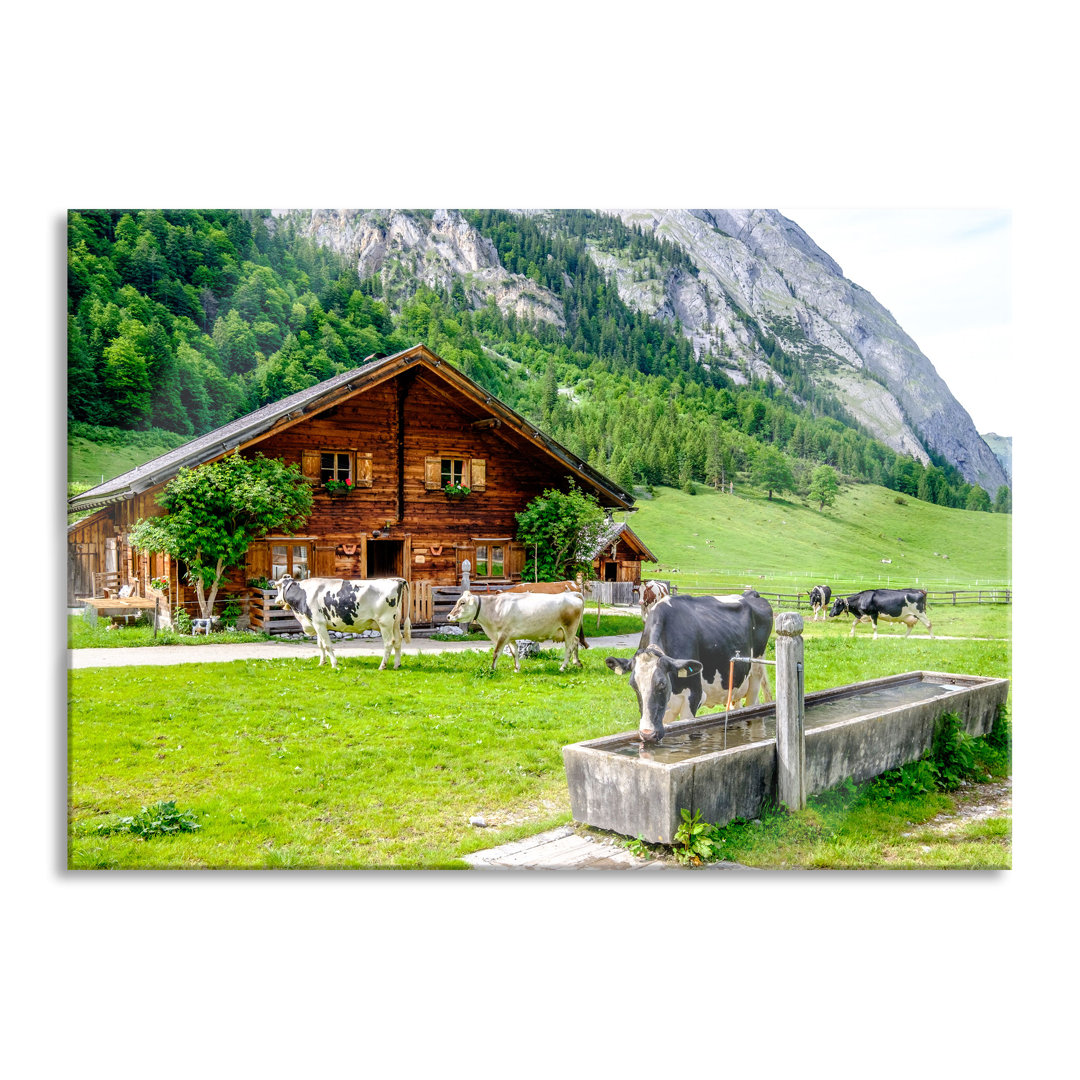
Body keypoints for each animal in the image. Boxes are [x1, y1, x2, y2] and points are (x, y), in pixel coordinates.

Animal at [276, 574, 410, 665]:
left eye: (278, 588)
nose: (276, 600)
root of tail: (395, 580)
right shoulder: (317, 623)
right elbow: (320, 645)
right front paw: (322, 663)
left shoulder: (319, 623)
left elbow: (327, 645)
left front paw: (334, 664)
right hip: (395, 622)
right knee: (398, 640)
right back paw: (397, 664)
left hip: (385, 622)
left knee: (389, 643)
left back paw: (382, 666)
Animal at [444, 587, 587, 669]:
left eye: (462, 603)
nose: (448, 616)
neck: (494, 608)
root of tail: (572, 594)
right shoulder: (510, 637)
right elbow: (514, 652)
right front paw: (517, 668)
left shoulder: (503, 634)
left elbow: (496, 652)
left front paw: (492, 669)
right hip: (565, 632)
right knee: (575, 642)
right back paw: (577, 663)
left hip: (569, 629)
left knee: (568, 648)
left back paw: (563, 667)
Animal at [604, 591, 773, 743]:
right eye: (633, 685)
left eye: (662, 684)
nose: (647, 734)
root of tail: (751, 594)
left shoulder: (694, 696)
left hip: (756, 672)